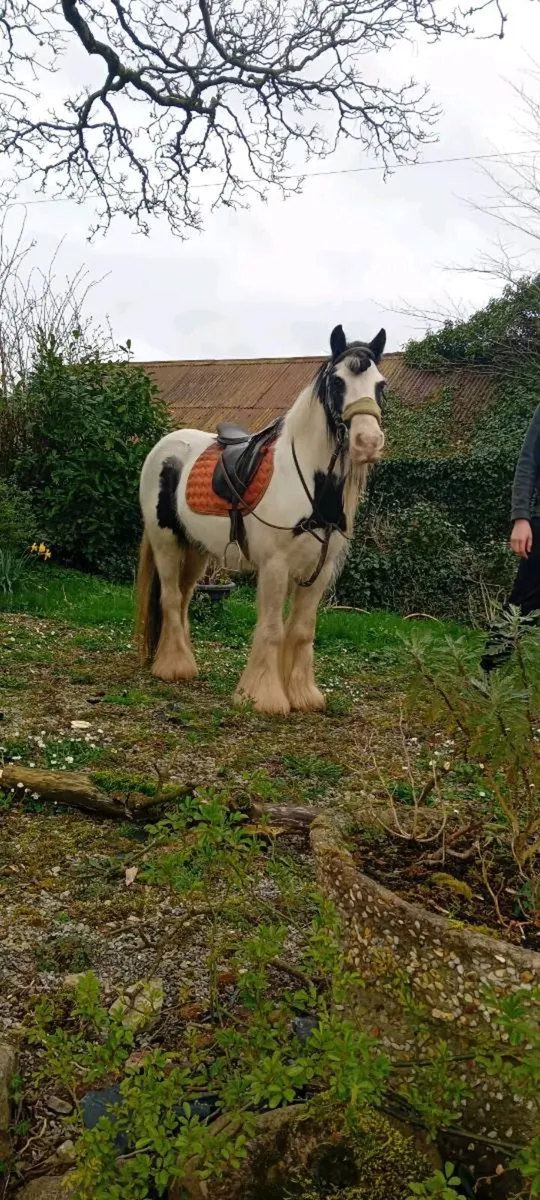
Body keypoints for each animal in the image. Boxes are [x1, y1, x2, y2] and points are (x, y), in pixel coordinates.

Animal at [136, 324, 387, 716]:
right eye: (337, 382)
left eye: (381, 385)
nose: (368, 442)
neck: (312, 486)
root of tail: (165, 446)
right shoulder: (275, 565)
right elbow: (271, 629)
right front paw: (263, 697)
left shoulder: (320, 571)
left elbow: (302, 630)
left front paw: (302, 694)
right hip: (165, 542)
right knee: (172, 599)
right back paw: (175, 668)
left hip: (196, 549)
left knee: (185, 597)